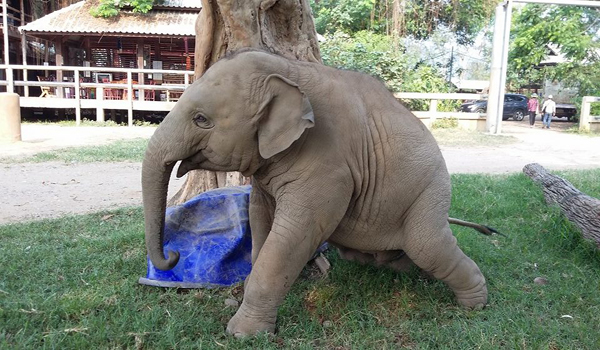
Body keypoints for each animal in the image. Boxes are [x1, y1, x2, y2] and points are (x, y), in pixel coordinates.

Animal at [144, 49, 488, 336]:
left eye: (201, 119)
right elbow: (260, 218)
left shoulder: (329, 166)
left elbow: (296, 233)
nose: (173, 256)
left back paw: (476, 303)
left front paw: (242, 333)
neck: (289, 70)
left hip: (429, 190)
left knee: (427, 245)